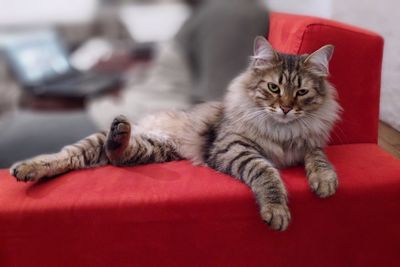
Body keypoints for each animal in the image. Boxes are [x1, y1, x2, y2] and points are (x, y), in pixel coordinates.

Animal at [9, 36, 340, 232]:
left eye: (301, 92)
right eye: (273, 88)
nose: (285, 108)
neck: (283, 131)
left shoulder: (310, 141)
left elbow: (319, 157)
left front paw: (324, 181)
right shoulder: (233, 146)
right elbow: (266, 172)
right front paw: (276, 209)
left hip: (152, 148)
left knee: (117, 156)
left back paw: (120, 134)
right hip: (97, 144)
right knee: (68, 155)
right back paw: (26, 169)